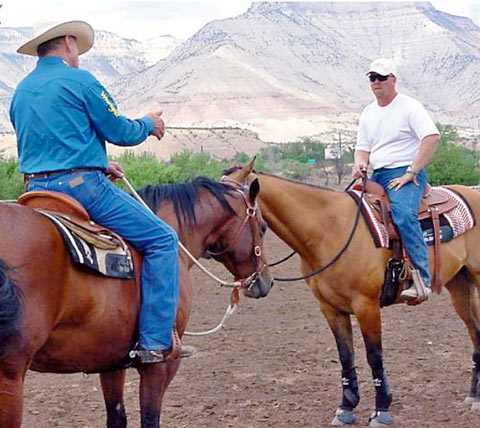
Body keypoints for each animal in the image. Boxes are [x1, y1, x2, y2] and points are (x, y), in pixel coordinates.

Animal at [0, 176, 272, 426]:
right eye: (262, 227)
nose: (266, 281)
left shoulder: (110, 361)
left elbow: (117, 417)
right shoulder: (160, 366)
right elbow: (150, 418)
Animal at [225, 160, 480, 428]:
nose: (254, 284)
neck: (328, 230)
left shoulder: (366, 305)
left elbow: (374, 356)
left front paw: (381, 410)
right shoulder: (330, 307)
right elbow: (346, 356)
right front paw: (346, 407)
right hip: (459, 286)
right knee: (475, 331)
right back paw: (473, 396)